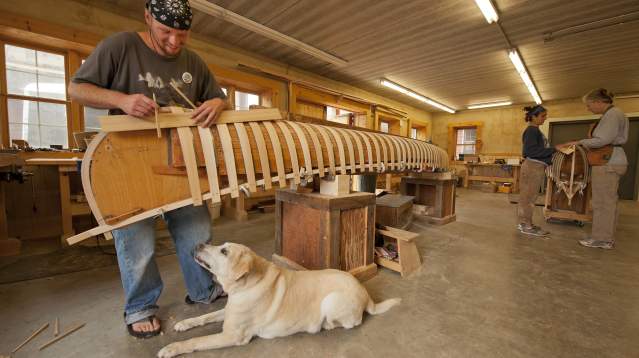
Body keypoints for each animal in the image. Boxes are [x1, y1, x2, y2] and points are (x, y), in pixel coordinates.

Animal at [159, 242, 400, 356]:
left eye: (224, 251)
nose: (198, 244)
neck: (245, 286)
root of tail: (366, 294)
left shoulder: (232, 335)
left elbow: (196, 341)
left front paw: (171, 348)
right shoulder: (228, 312)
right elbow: (205, 316)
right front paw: (183, 323)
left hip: (330, 301)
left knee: (350, 322)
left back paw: (324, 325)